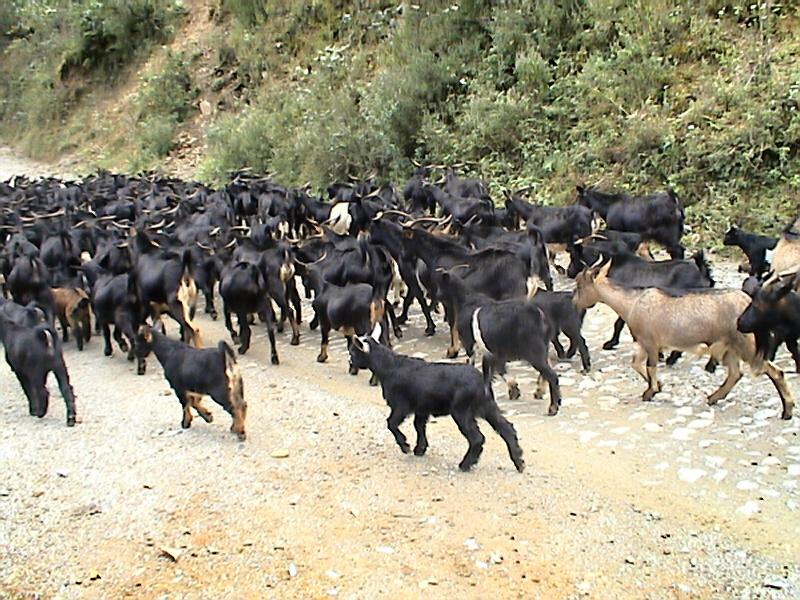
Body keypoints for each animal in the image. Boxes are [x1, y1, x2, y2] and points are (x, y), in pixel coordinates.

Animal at [350, 324, 524, 474]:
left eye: (352, 353)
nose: (350, 362)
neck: (389, 366)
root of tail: (483, 380)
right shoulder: (421, 409)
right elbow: (419, 426)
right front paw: (419, 449)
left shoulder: (401, 406)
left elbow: (391, 423)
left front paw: (405, 446)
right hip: (488, 408)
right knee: (507, 429)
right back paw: (519, 461)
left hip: (462, 412)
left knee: (477, 438)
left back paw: (465, 464)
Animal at [576, 260, 792, 420]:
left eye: (579, 285)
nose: (574, 301)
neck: (632, 303)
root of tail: (747, 302)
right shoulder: (644, 342)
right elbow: (636, 364)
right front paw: (657, 386)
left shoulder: (650, 341)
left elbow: (649, 366)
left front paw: (650, 392)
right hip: (730, 345)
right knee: (735, 374)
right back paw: (713, 398)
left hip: (746, 343)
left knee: (775, 372)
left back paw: (787, 411)